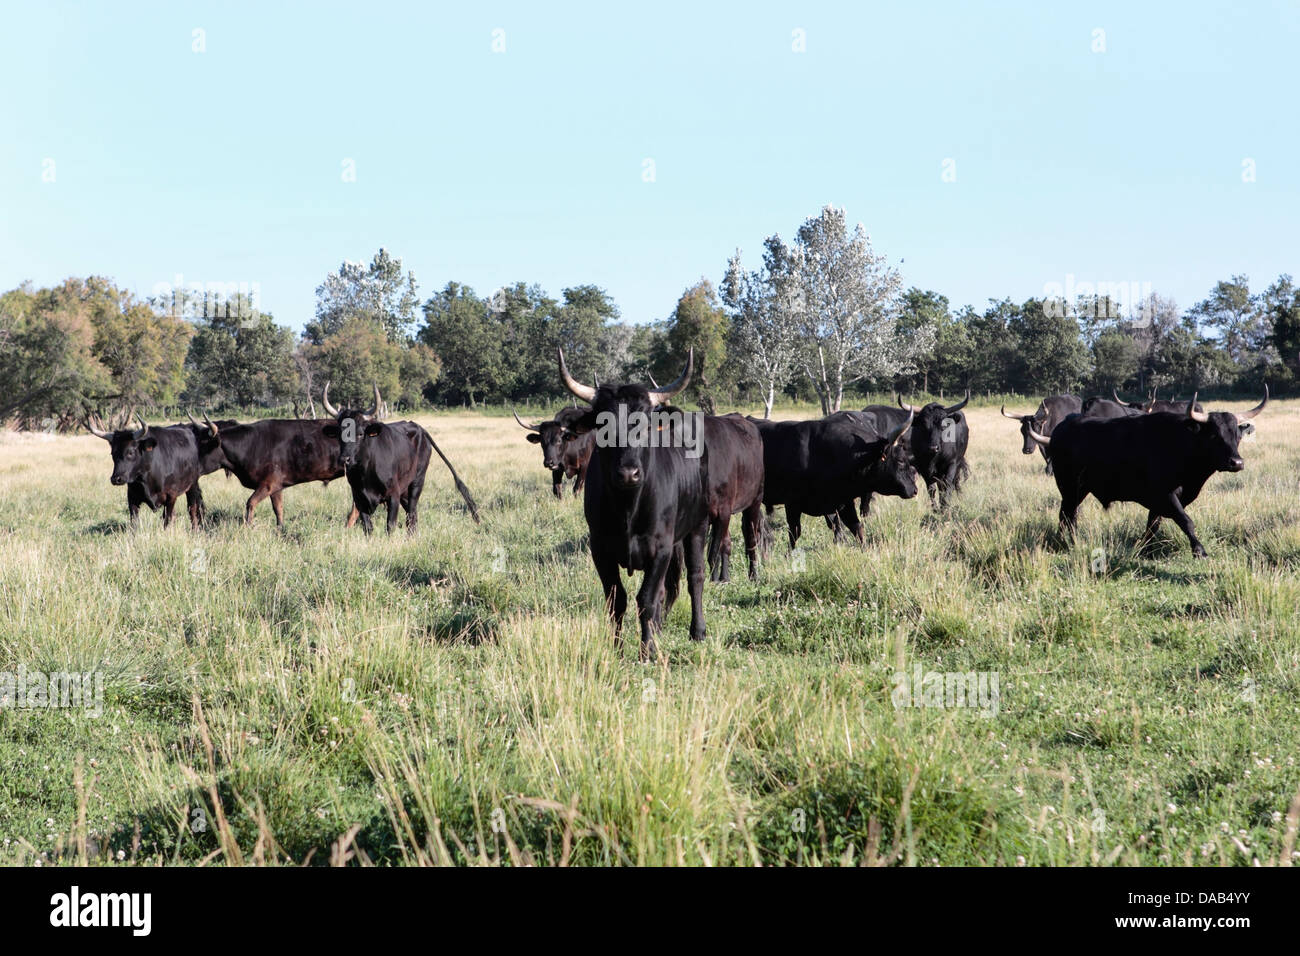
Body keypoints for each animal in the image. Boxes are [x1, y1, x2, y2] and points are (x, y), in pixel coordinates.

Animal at [322, 385, 486, 535]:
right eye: (339, 434)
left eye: (361, 433)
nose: (345, 459)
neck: (365, 472)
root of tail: (418, 428)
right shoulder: (359, 498)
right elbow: (368, 528)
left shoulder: (393, 496)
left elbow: (390, 526)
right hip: (405, 491)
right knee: (412, 517)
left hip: (417, 481)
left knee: (411, 515)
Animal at [553, 348, 707, 660]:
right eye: (602, 424)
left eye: (646, 423)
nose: (628, 473)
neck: (628, 508)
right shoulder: (600, 549)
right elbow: (618, 600)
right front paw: (618, 649)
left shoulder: (660, 549)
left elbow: (646, 599)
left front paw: (646, 652)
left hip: (698, 526)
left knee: (695, 578)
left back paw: (697, 631)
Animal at [754, 411, 915, 554]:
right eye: (900, 460)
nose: (914, 490)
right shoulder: (792, 503)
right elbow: (795, 532)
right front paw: (788, 555)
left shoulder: (843, 502)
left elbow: (856, 528)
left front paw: (866, 551)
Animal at [1029, 387, 1263, 556]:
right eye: (1215, 434)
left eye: (1237, 436)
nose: (1237, 462)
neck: (1181, 444)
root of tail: (1059, 431)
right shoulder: (1165, 495)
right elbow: (1186, 520)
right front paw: (1199, 550)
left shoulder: (1160, 502)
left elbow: (1153, 525)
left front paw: (1144, 549)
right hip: (1069, 488)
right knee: (1067, 515)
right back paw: (1068, 542)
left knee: (1069, 515)